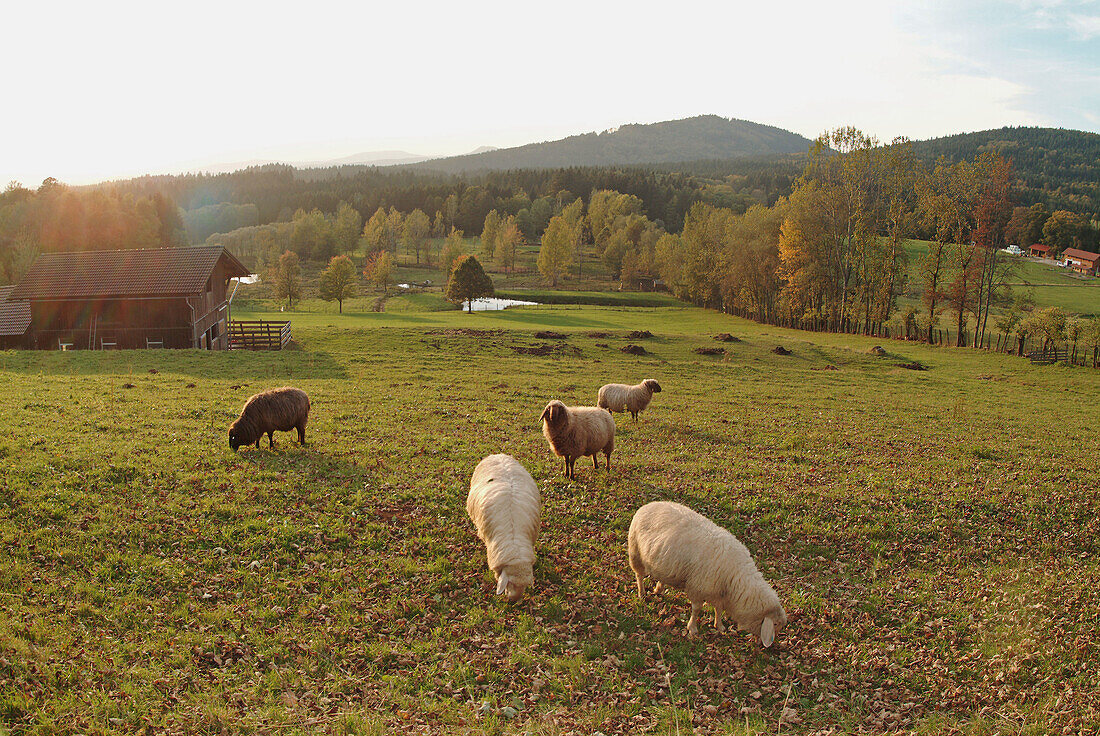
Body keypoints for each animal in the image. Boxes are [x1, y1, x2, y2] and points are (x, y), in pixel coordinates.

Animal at [629, 499, 783, 642]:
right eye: (774, 624)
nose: (768, 646)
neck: (737, 576)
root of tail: (649, 504)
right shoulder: (697, 587)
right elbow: (697, 608)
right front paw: (692, 628)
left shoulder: (718, 592)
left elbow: (719, 609)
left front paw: (719, 626)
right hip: (635, 552)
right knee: (639, 575)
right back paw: (642, 593)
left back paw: (659, 589)